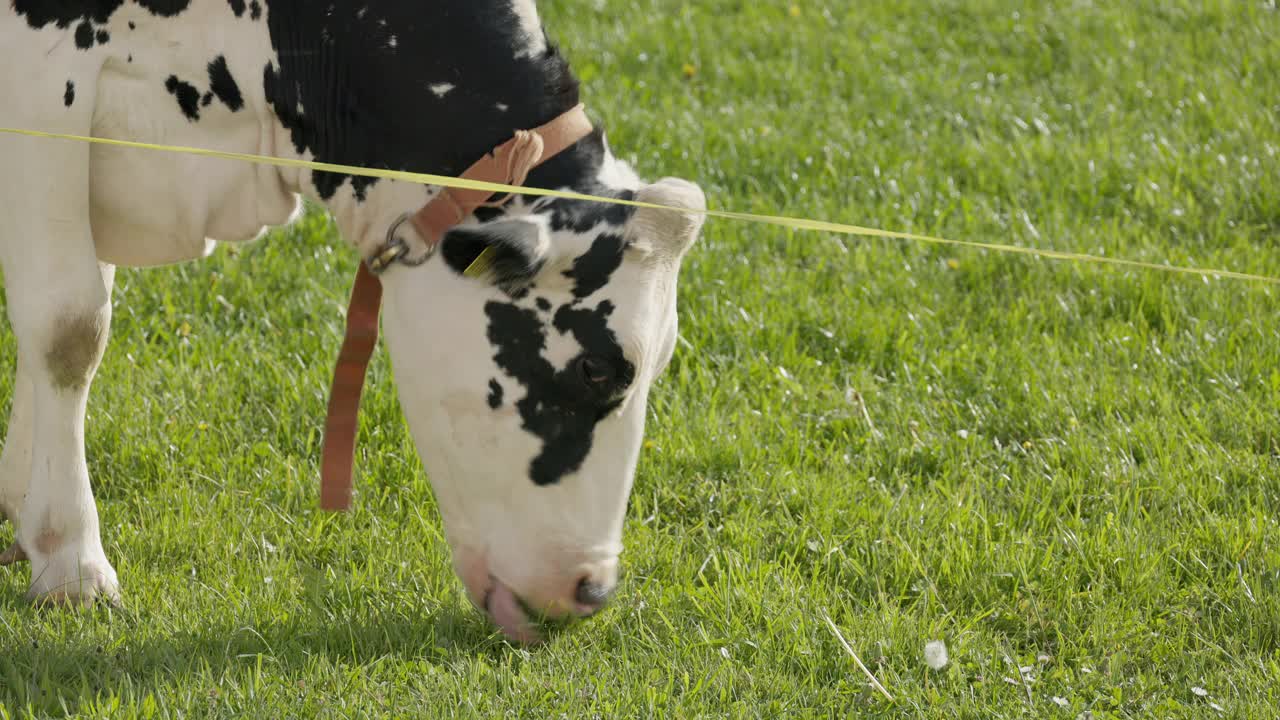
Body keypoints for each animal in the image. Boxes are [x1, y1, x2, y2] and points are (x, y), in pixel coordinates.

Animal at [0, 0, 711, 638]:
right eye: (597, 368)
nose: (592, 590)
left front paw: (19, 506)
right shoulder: (40, 84)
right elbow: (69, 324)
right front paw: (70, 561)